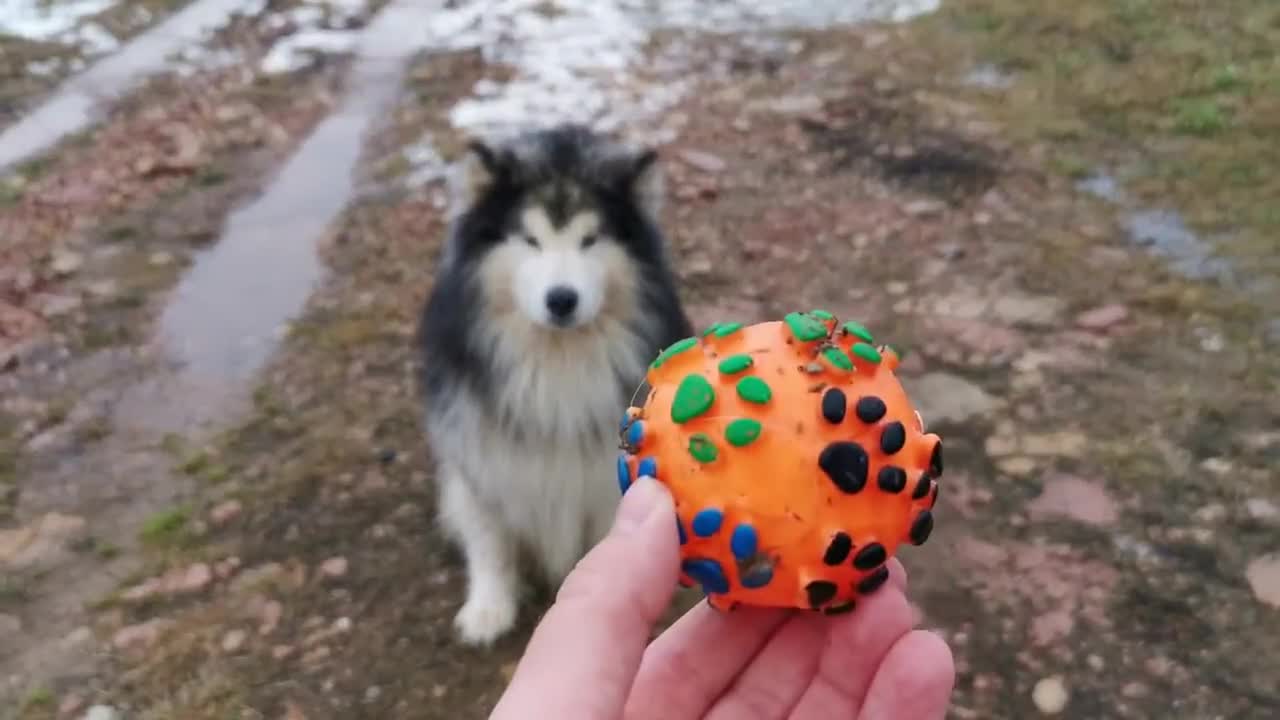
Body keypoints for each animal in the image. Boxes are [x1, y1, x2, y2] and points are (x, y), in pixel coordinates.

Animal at [414, 122, 696, 645]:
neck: (555, 358)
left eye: (591, 239)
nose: (561, 299)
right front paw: (489, 608)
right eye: (530, 239)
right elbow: (490, 539)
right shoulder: (482, 456)